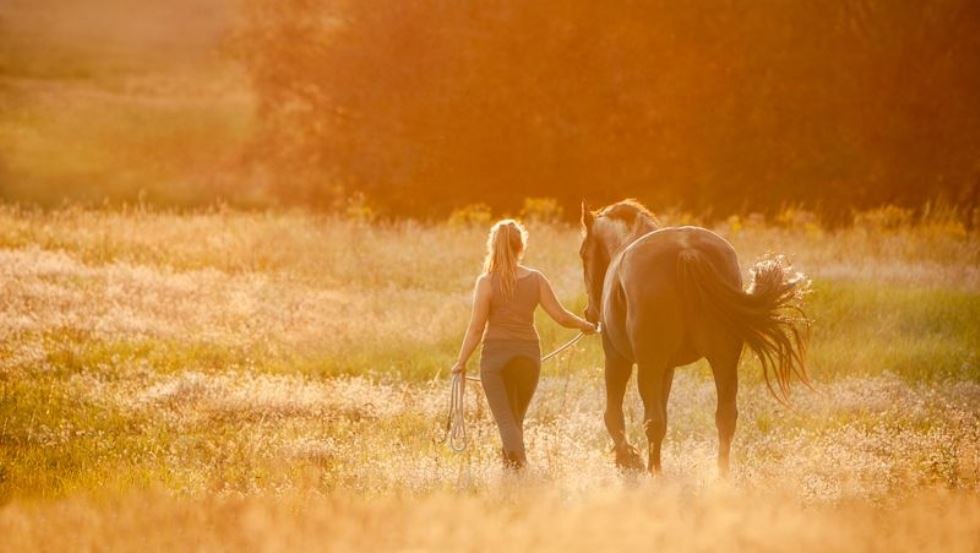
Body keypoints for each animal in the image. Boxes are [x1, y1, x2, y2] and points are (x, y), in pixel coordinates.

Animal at [580, 198, 808, 474]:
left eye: (583, 254)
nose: (590, 313)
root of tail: (687, 252)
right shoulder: (667, 369)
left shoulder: (617, 359)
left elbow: (613, 415)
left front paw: (627, 457)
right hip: (722, 360)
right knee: (724, 418)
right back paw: (720, 476)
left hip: (649, 367)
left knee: (653, 422)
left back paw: (655, 474)